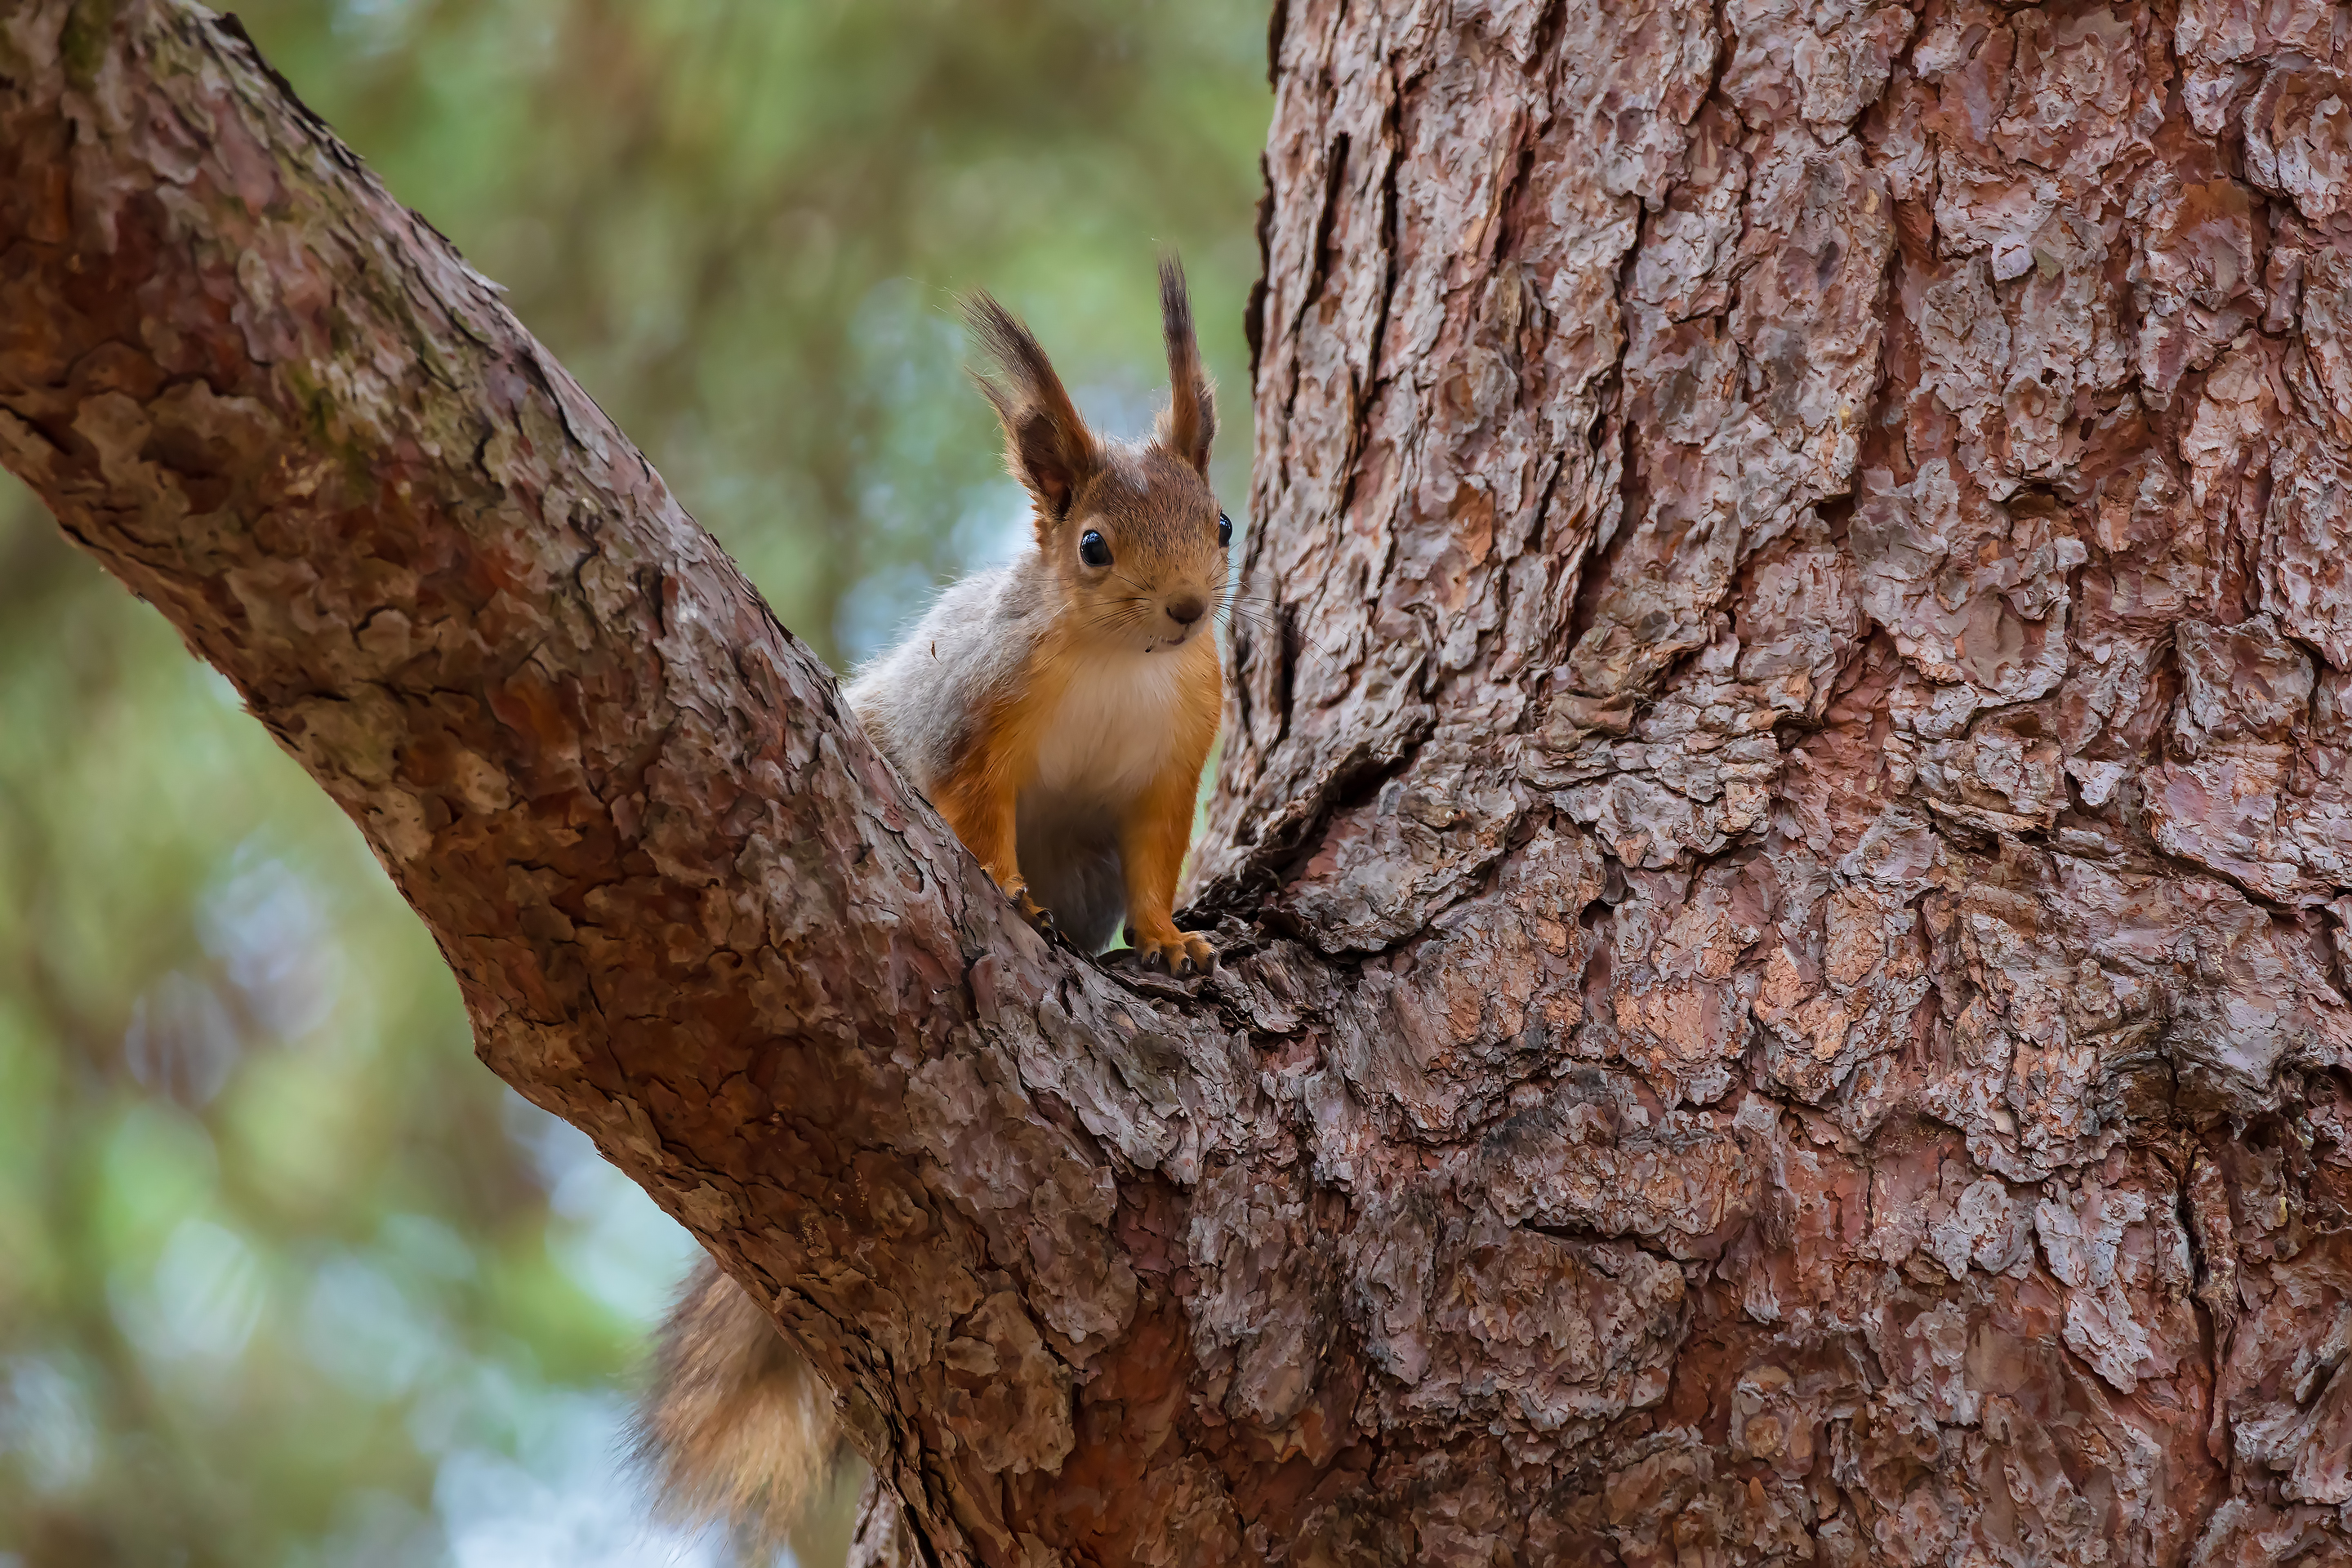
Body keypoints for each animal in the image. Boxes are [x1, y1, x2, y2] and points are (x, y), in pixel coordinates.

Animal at [634, 258, 1229, 1553]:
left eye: (1223, 525)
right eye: (1093, 545)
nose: (1189, 612)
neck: (1126, 668)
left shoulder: (1173, 762)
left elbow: (1157, 863)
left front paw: (1172, 941)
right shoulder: (977, 720)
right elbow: (972, 809)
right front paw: (1003, 889)